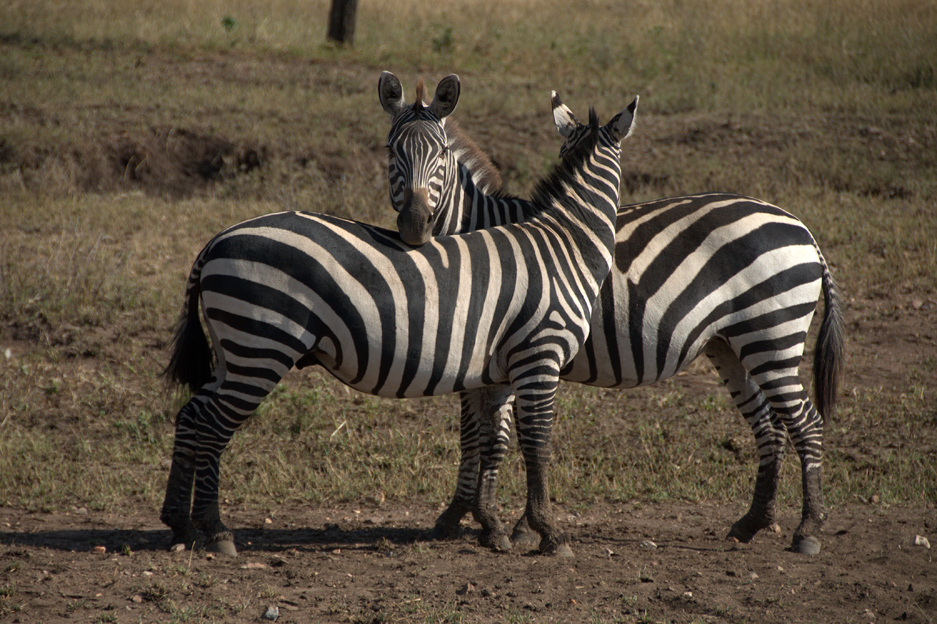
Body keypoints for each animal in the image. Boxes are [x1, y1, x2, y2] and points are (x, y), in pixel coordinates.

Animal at [161, 85, 640, 560]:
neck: (566, 242)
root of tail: (217, 240)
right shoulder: (540, 354)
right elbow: (537, 444)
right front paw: (549, 533)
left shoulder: (498, 370)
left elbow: (491, 441)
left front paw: (493, 528)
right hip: (261, 346)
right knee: (212, 427)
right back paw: (216, 530)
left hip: (235, 351)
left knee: (191, 416)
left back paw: (180, 524)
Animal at [376, 73, 844, 556]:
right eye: (390, 151)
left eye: (440, 153)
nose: (414, 226)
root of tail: (801, 228)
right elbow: (473, 434)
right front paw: (467, 517)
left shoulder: (508, 353)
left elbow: (496, 436)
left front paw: (496, 524)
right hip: (730, 345)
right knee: (770, 425)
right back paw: (753, 522)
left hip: (772, 335)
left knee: (805, 423)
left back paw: (808, 529)